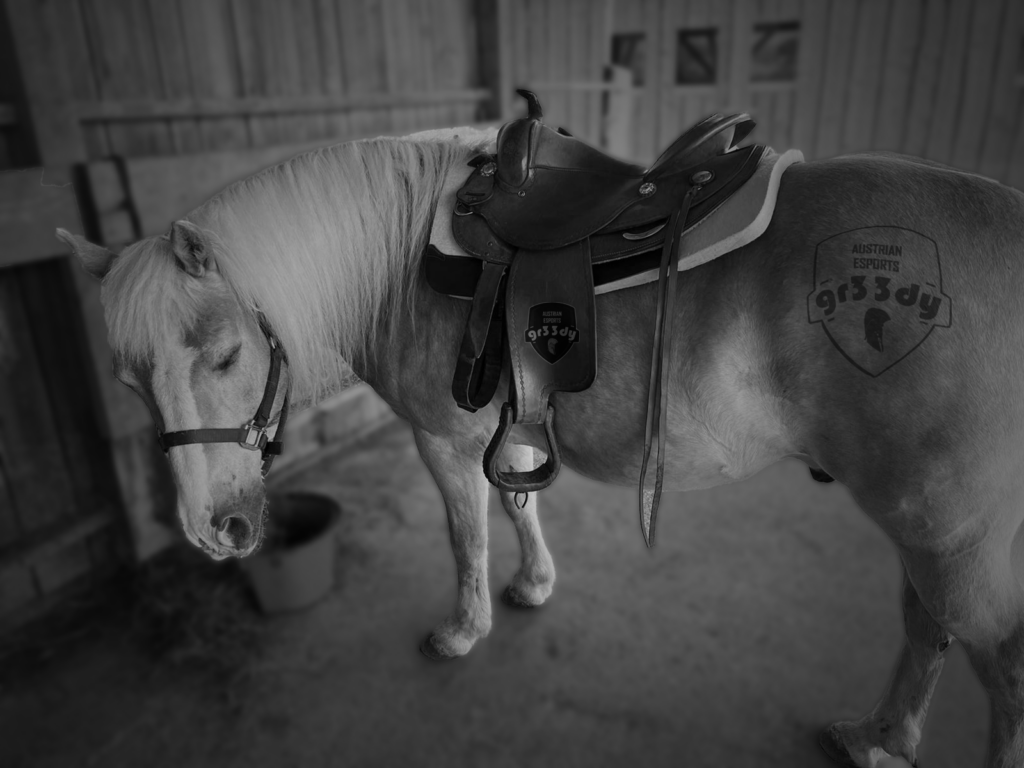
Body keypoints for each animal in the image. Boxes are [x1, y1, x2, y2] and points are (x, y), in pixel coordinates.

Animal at [59, 124, 1024, 768]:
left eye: (225, 354)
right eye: (129, 381)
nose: (210, 529)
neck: (402, 258)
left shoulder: (443, 440)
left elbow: (467, 535)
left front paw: (464, 630)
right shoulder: (509, 421)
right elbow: (520, 499)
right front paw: (534, 586)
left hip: (949, 535)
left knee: (994, 658)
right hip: (929, 530)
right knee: (926, 628)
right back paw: (878, 739)